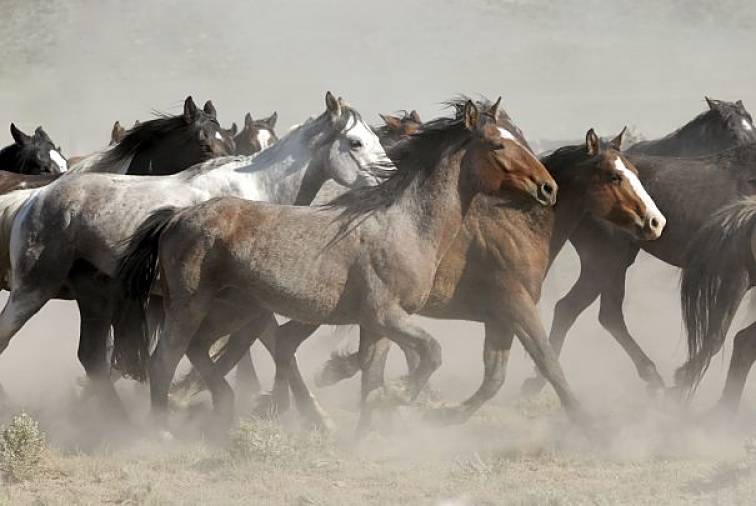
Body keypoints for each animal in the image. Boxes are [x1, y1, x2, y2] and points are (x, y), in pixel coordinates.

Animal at [0, 92, 398, 416]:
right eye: (356, 142)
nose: (393, 178)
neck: (255, 193)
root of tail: (34, 199)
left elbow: (268, 343)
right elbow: (259, 343)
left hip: (94, 296)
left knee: (93, 358)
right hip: (33, 290)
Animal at [115, 101, 560, 432]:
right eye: (497, 145)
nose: (548, 187)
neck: (404, 222)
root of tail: (176, 216)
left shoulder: (378, 325)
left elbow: (372, 375)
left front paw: (368, 431)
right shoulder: (385, 315)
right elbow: (430, 355)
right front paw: (396, 397)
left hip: (234, 309)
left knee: (200, 351)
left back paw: (222, 406)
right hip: (190, 307)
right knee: (164, 360)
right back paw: (162, 431)